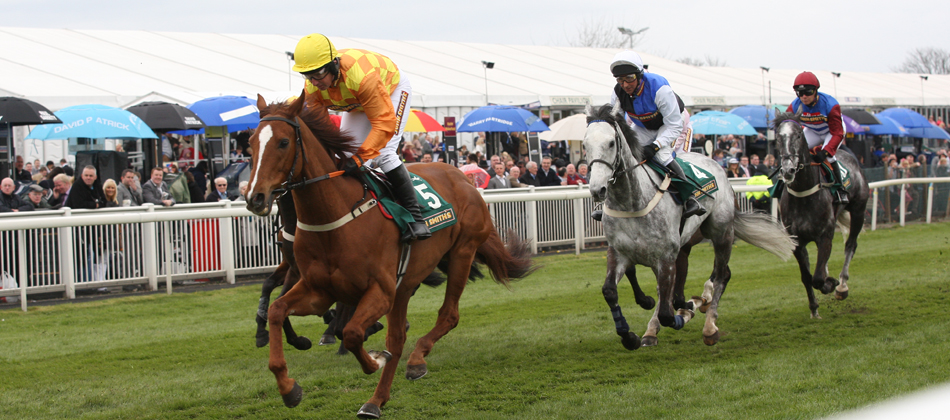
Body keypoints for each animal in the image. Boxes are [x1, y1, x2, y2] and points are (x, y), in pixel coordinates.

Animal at [245, 92, 540, 416]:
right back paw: (375, 401)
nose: (255, 196)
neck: (335, 218)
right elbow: (277, 310)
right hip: (406, 285)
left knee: (448, 316)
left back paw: (416, 360)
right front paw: (289, 387)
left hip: (462, 252)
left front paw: (374, 358)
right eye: (251, 142)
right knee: (398, 338)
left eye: (283, 142)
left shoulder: (380, 290)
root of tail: (462, 176)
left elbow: (352, 333)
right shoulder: (318, 289)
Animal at [588, 104, 796, 348]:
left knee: (721, 275)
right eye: (585, 144)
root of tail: (716, 164)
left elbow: (667, 312)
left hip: (722, 233)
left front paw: (685, 312)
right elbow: (610, 291)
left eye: (611, 143)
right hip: (686, 245)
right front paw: (630, 335)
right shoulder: (619, 252)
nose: (597, 189)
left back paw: (709, 324)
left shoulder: (665, 258)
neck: (631, 203)